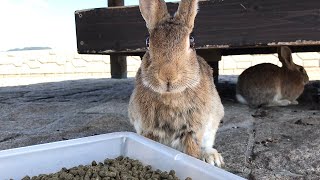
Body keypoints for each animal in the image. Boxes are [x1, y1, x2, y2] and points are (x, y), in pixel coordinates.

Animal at [127, 0, 225, 167]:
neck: (170, 96)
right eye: (147, 42)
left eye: (192, 41)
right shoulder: (149, 130)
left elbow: (192, 151)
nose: (168, 75)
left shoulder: (192, 130)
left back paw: (212, 157)